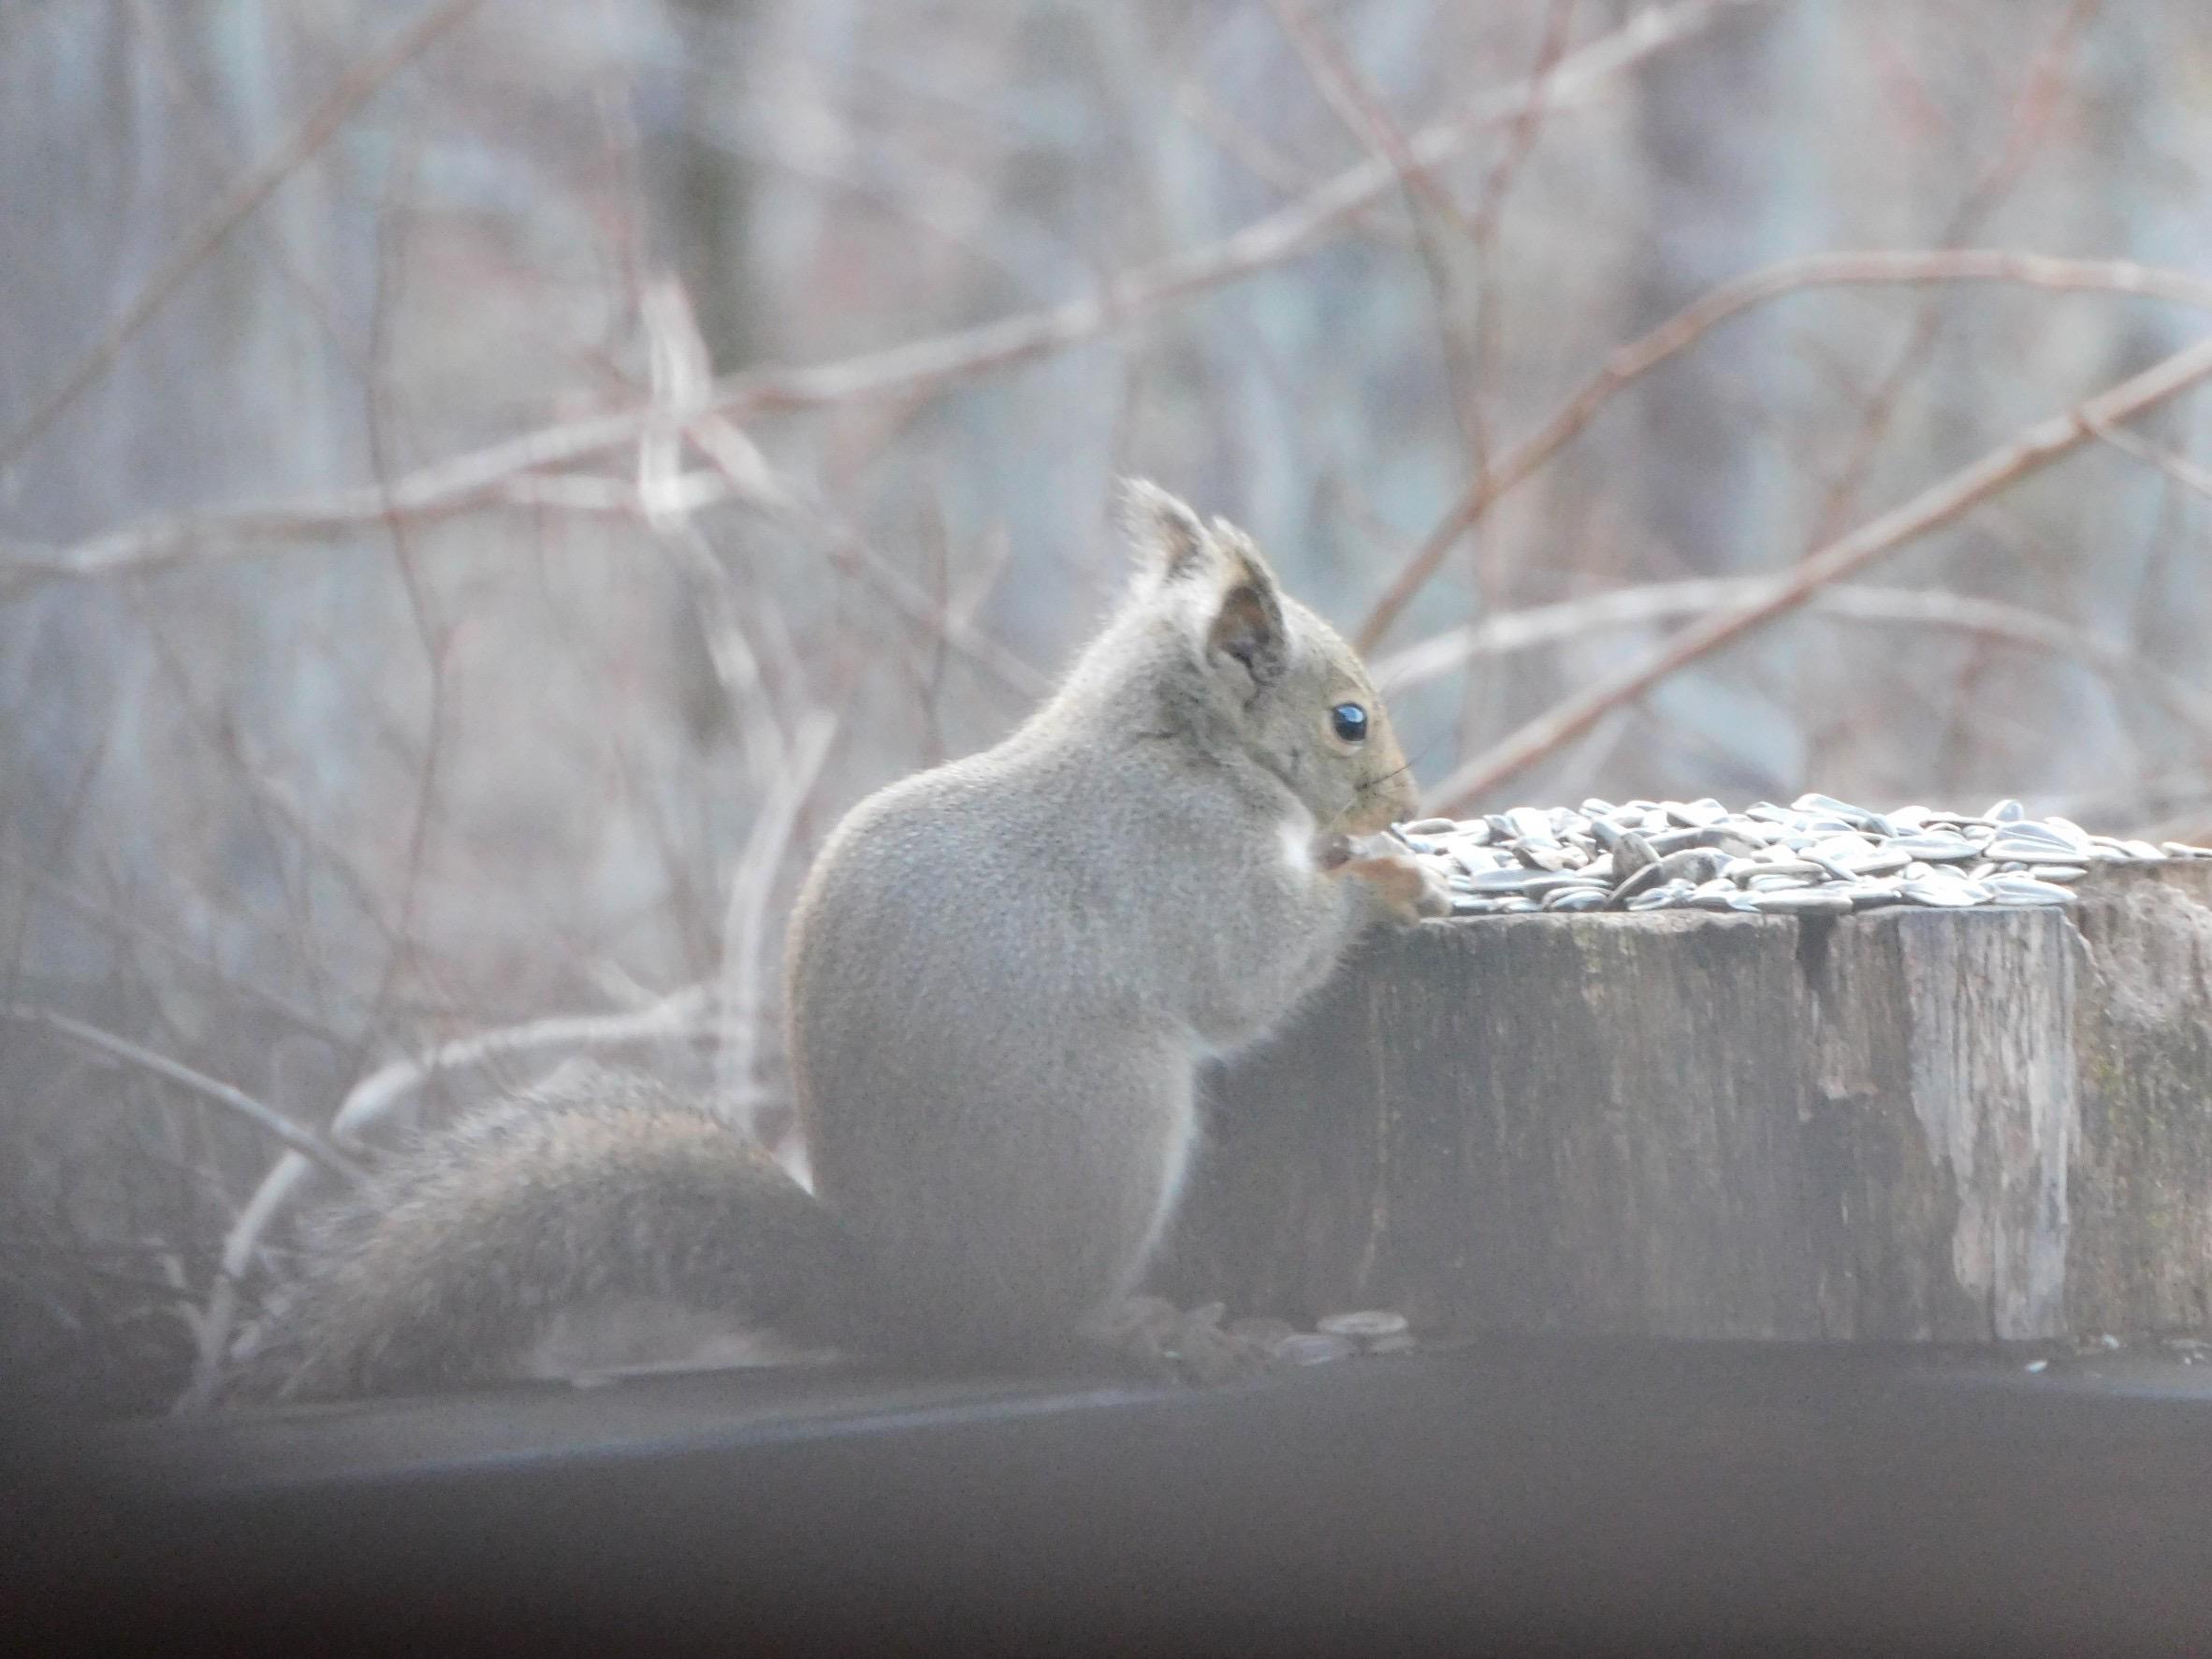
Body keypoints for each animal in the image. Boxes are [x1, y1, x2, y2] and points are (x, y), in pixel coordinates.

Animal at [246, 479, 1450, 1406]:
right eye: (1349, 720)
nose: (1409, 804)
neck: (1184, 743)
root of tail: (910, 1305)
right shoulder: (1184, 865)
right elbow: (1254, 974)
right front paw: (1383, 880)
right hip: (1111, 1129)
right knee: (1042, 1329)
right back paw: (1149, 1332)